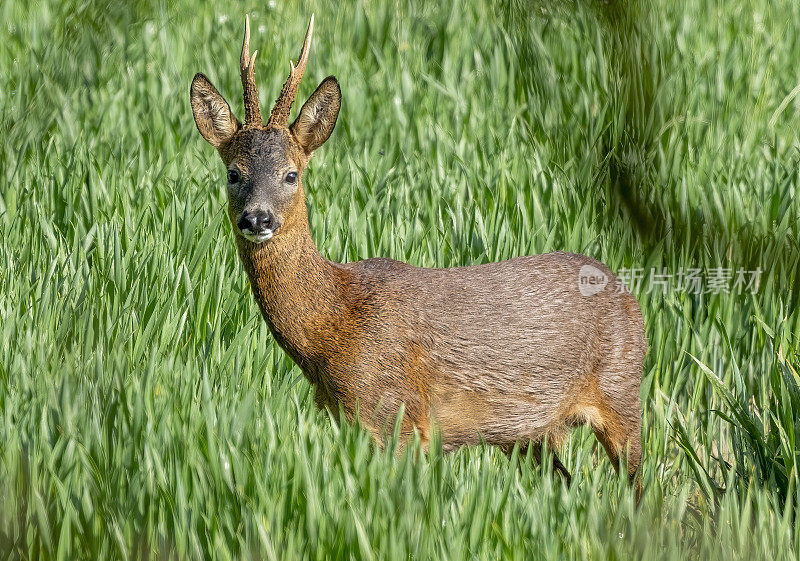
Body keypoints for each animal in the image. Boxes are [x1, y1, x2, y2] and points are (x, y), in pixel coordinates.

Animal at [191, 13, 648, 494]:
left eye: (291, 174)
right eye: (233, 173)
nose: (257, 218)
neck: (332, 327)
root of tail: (628, 293)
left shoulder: (398, 417)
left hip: (621, 391)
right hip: (529, 436)